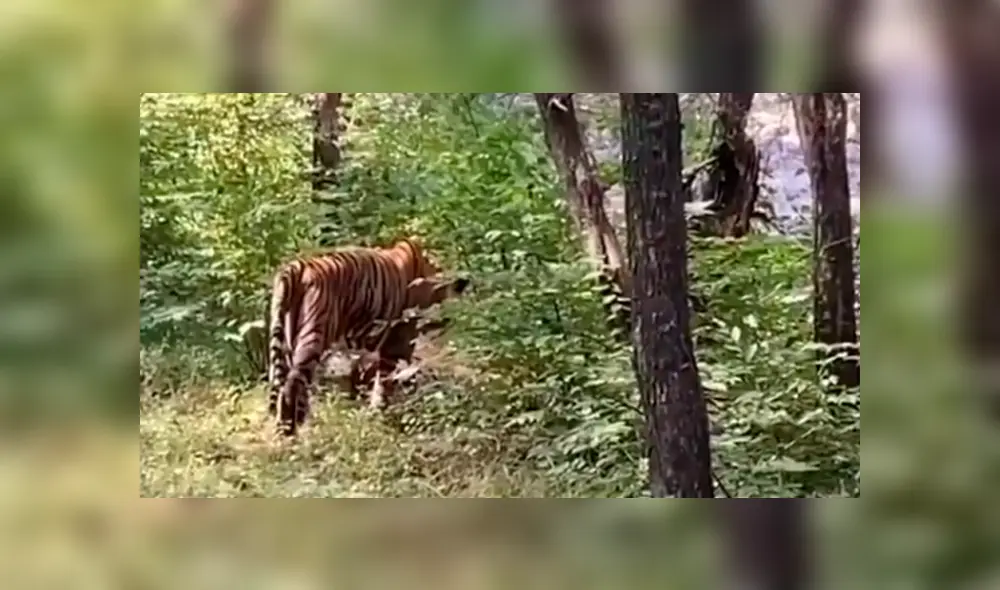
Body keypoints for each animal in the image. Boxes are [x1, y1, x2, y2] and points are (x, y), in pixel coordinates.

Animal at [266, 237, 455, 435]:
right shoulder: (398, 340)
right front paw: (386, 412)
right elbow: (390, 378)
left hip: (285, 343)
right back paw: (290, 431)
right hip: (313, 337)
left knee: (284, 384)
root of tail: (297, 267)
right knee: (292, 385)